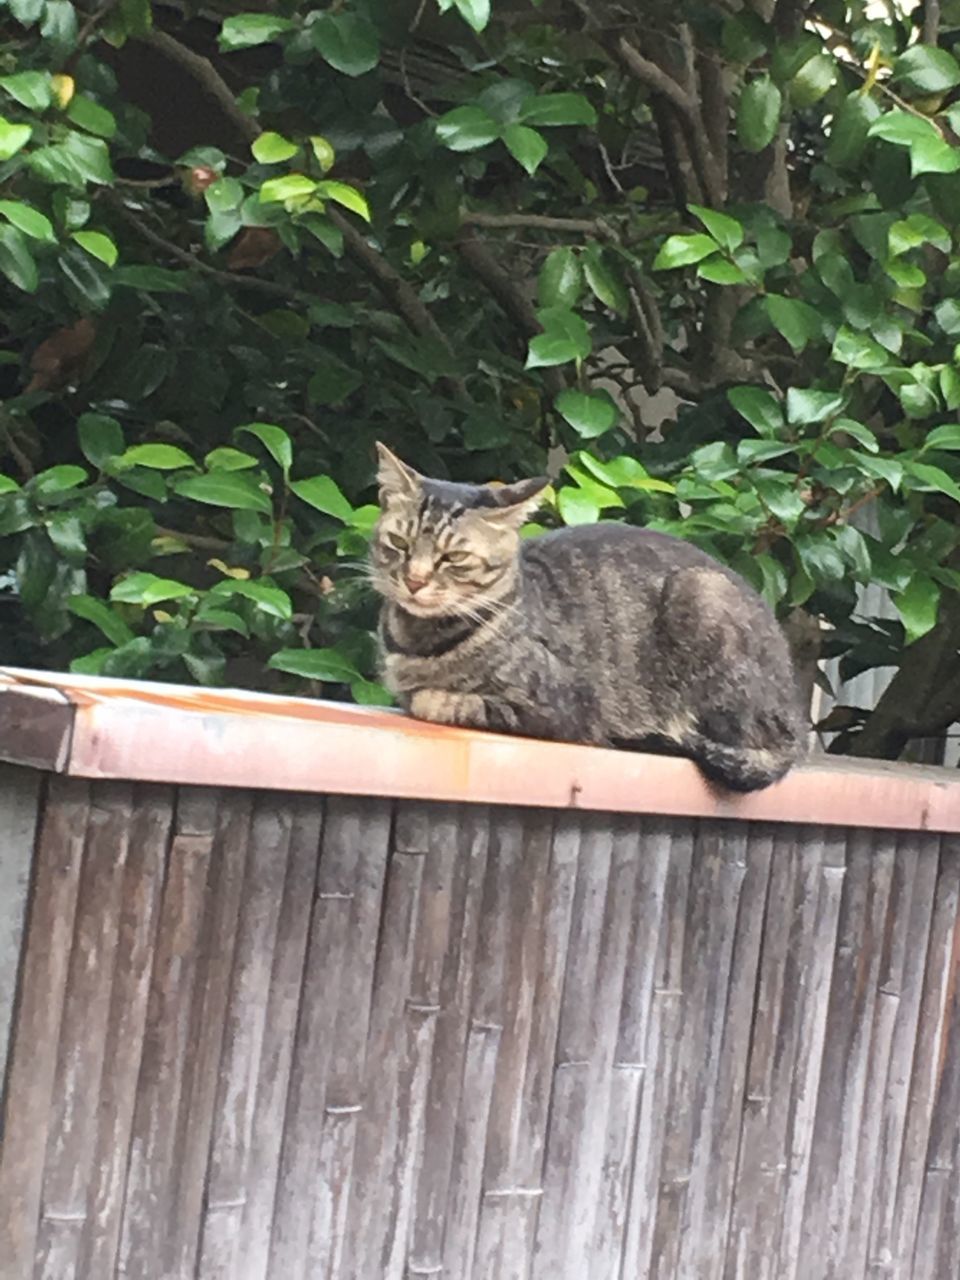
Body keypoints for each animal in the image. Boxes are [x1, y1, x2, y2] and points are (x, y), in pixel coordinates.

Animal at [371, 445, 808, 793]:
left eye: (453, 558)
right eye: (399, 544)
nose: (414, 581)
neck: (417, 640)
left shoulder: (564, 706)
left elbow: (436, 700)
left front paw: (432, 696)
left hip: (701, 595)